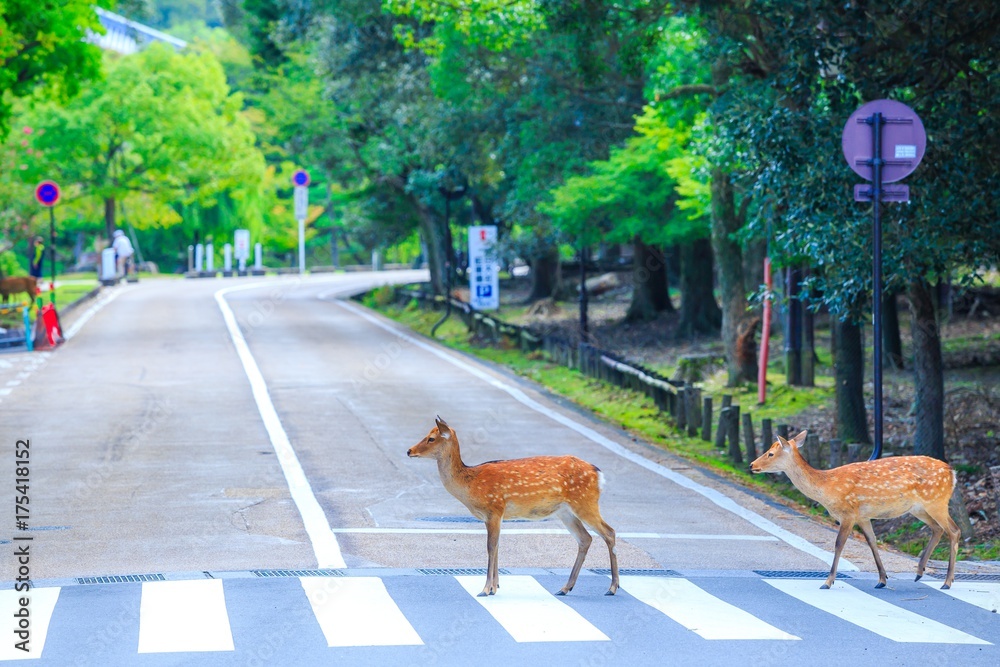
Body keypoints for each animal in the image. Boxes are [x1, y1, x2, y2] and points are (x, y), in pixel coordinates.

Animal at [407, 416, 620, 597]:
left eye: (431, 438)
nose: (409, 450)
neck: (470, 484)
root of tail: (598, 474)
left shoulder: (494, 508)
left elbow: (490, 547)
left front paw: (485, 589)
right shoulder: (497, 515)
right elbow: (497, 546)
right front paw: (495, 587)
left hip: (585, 502)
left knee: (609, 532)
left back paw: (612, 587)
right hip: (566, 512)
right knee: (585, 538)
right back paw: (565, 588)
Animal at [750, 430, 959, 590]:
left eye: (770, 453)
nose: (752, 465)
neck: (826, 488)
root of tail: (953, 473)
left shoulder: (848, 513)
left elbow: (838, 544)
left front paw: (828, 582)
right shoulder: (863, 516)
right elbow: (872, 542)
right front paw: (882, 580)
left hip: (937, 501)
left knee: (954, 531)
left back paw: (947, 582)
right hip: (919, 508)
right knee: (938, 529)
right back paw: (919, 572)